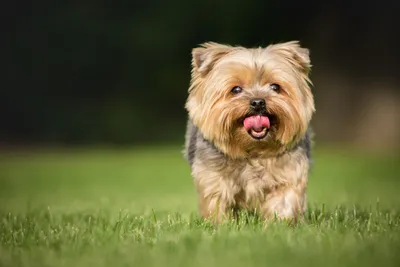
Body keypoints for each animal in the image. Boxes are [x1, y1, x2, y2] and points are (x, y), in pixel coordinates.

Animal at [183, 40, 314, 224]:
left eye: (275, 87)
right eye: (236, 89)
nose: (258, 102)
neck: (253, 151)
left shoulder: (288, 175)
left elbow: (283, 202)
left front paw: (278, 225)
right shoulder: (214, 179)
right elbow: (217, 204)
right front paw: (221, 225)